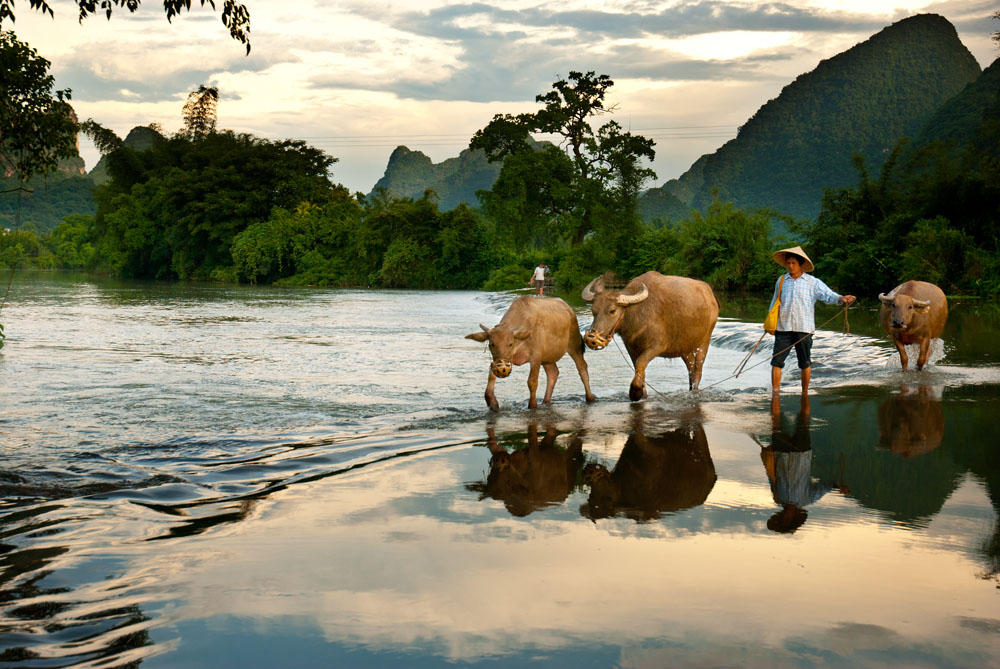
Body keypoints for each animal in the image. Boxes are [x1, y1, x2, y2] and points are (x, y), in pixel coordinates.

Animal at [466, 294, 596, 410]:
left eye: (510, 344)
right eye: (491, 344)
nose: (501, 366)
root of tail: (569, 309)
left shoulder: (536, 357)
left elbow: (532, 382)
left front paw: (532, 405)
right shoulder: (501, 359)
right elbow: (491, 377)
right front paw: (492, 402)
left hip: (574, 346)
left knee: (582, 368)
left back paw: (590, 397)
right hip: (547, 358)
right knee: (553, 373)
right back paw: (546, 401)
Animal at [580, 270, 720, 400]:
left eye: (612, 310)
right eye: (593, 310)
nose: (591, 337)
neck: (637, 313)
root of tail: (710, 295)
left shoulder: (657, 346)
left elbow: (641, 363)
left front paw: (635, 391)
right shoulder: (631, 347)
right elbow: (639, 368)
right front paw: (643, 393)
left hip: (704, 342)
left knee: (698, 370)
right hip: (685, 348)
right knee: (690, 369)